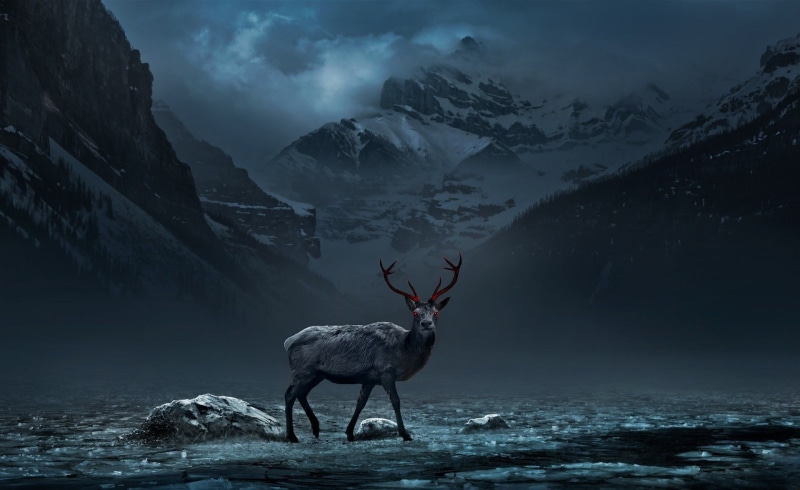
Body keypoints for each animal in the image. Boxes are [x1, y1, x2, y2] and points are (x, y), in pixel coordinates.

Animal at [283, 253, 462, 443]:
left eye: (436, 312)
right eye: (415, 313)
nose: (426, 323)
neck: (404, 351)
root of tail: (288, 341)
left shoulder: (369, 378)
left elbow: (361, 402)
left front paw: (349, 433)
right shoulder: (386, 372)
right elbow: (396, 401)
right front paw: (405, 434)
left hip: (316, 374)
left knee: (302, 394)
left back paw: (316, 428)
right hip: (302, 371)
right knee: (289, 395)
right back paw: (292, 436)